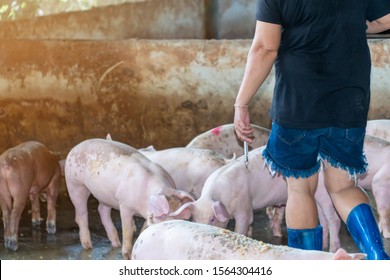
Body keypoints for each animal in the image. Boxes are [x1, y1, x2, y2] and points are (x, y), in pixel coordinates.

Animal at [64, 139, 195, 260]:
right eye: (163, 218)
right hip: (74, 184)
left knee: (102, 210)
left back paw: (116, 244)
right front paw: (127, 255)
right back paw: (88, 246)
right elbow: (128, 231)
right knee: (81, 214)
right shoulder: (124, 205)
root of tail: (75, 147)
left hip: (104, 194)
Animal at [172, 147, 340, 252]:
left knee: (333, 219)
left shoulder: (244, 206)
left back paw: (332, 249)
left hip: (324, 191)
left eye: (212, 219)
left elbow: (243, 225)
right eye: (194, 219)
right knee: (322, 220)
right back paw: (323, 245)